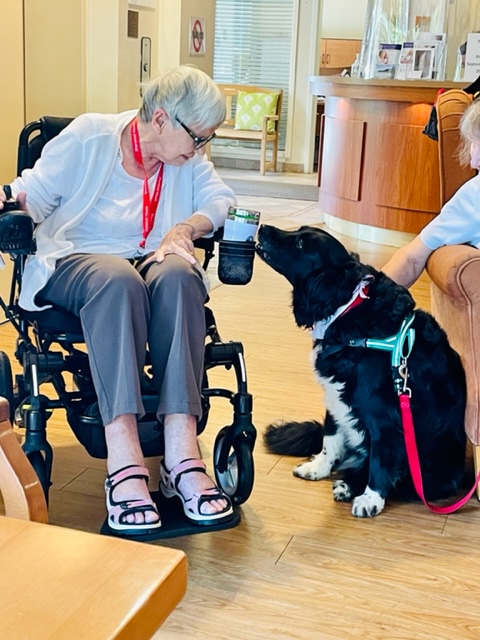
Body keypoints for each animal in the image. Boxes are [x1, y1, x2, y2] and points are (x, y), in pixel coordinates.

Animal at [256, 224, 466, 516]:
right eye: (298, 231)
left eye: (300, 244)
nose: (263, 227)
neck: (347, 308)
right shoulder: (335, 396)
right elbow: (330, 438)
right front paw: (318, 468)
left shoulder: (385, 417)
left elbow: (381, 461)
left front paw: (371, 499)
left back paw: (351, 486)